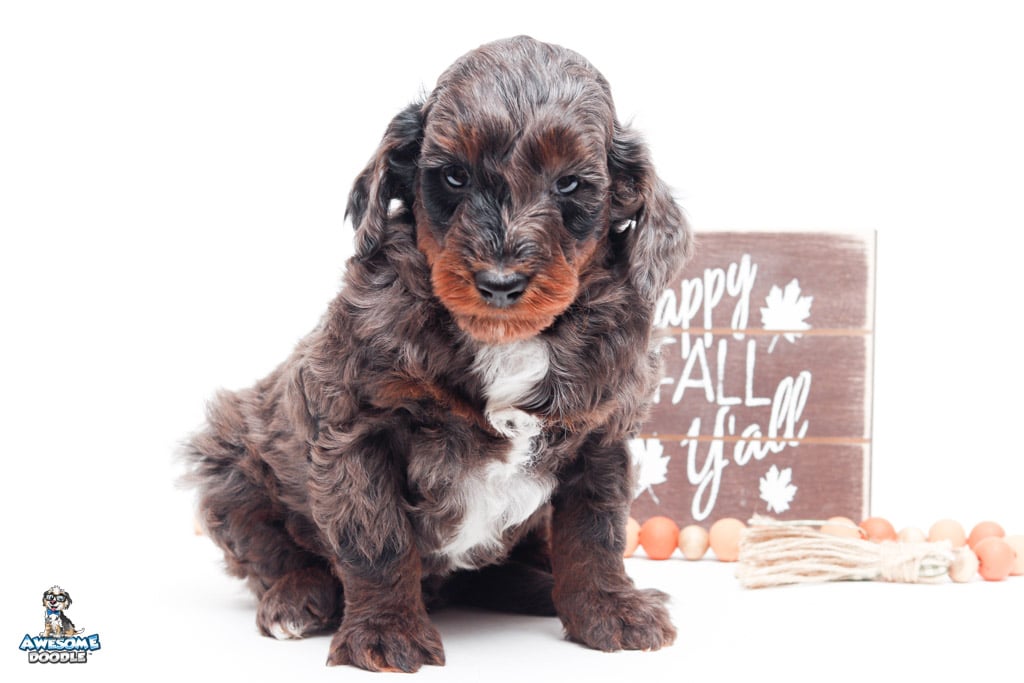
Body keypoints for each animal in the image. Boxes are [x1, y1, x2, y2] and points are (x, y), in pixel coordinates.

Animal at [184, 35, 691, 672]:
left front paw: (610, 611)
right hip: (229, 458)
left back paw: (540, 588)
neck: (507, 340)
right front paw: (385, 633)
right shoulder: (355, 426)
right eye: (453, 176)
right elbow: (375, 540)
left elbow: (595, 536)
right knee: (268, 547)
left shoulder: (601, 435)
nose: (499, 282)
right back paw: (298, 599)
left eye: (569, 185)